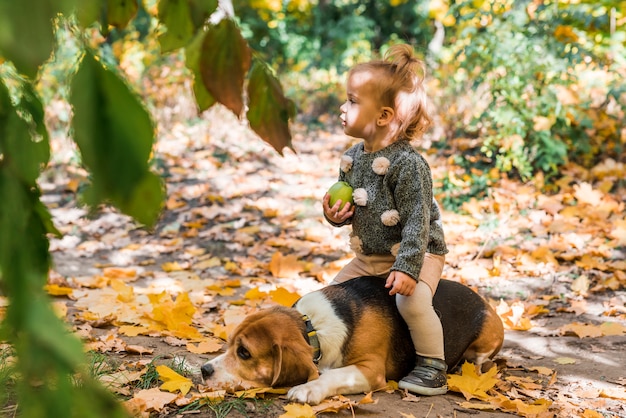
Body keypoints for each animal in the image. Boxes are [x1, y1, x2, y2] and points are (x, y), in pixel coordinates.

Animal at [200, 274, 502, 404]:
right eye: (230, 344)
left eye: (244, 353)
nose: (204, 370)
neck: (313, 328)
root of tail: (486, 303)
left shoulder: (371, 370)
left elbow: (333, 374)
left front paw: (309, 389)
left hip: (485, 338)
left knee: (480, 361)